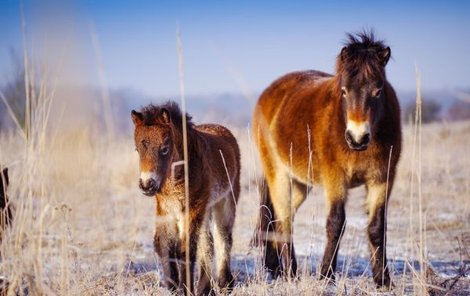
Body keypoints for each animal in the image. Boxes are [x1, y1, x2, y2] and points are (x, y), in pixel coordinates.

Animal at [132, 102, 241, 296]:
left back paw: (224, 284)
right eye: (138, 149)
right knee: (207, 244)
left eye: (164, 148)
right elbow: (164, 246)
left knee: (223, 237)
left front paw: (185, 288)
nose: (147, 184)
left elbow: (186, 250)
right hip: (205, 210)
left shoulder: (192, 209)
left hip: (225, 202)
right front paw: (173, 286)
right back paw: (205, 288)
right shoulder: (165, 209)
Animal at [252, 31, 402, 288]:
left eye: (378, 91)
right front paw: (326, 276)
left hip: (300, 183)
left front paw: (383, 280)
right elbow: (336, 223)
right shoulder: (336, 180)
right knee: (283, 221)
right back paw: (290, 273)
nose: (357, 137)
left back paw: (276, 269)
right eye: (344, 91)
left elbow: (376, 228)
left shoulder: (382, 180)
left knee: (280, 220)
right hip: (278, 175)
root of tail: (270, 92)